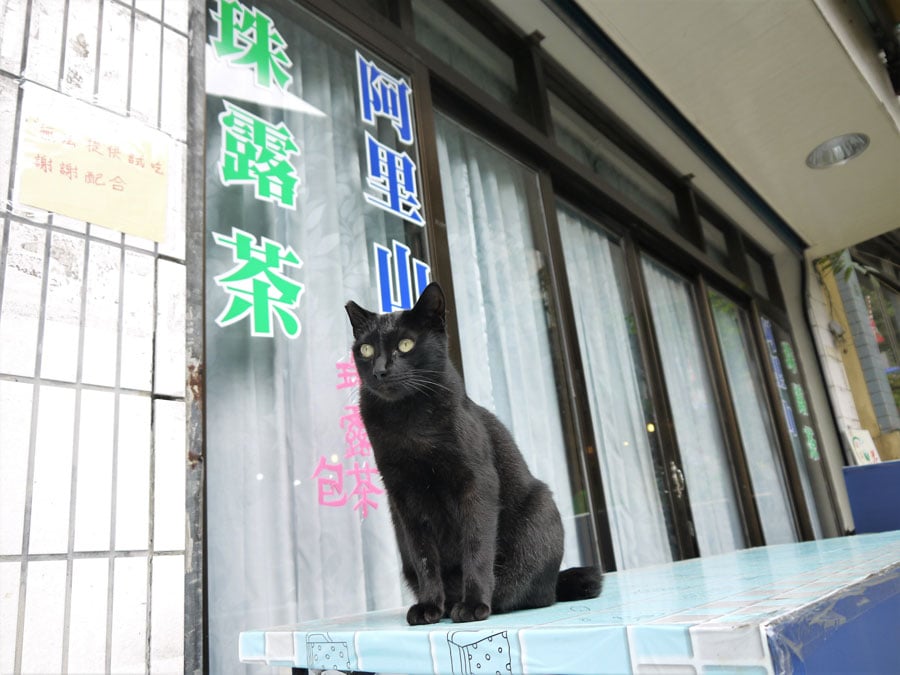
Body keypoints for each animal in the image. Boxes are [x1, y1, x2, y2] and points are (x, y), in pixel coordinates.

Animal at [346, 282, 604, 624]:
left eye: (406, 344)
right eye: (366, 350)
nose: (380, 370)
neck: (408, 423)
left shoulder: (477, 484)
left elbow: (476, 546)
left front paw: (473, 603)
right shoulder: (404, 498)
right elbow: (425, 557)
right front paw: (429, 605)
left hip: (541, 510)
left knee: (529, 592)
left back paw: (481, 600)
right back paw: (445, 605)